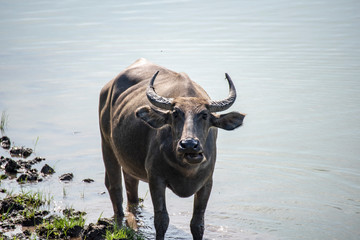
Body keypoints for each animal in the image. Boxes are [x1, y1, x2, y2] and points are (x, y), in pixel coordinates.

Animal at [98, 58, 245, 240]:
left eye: (204, 115)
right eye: (175, 114)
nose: (189, 144)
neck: (186, 169)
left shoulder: (207, 182)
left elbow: (198, 223)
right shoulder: (156, 179)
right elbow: (161, 220)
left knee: (131, 188)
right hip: (106, 143)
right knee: (115, 187)